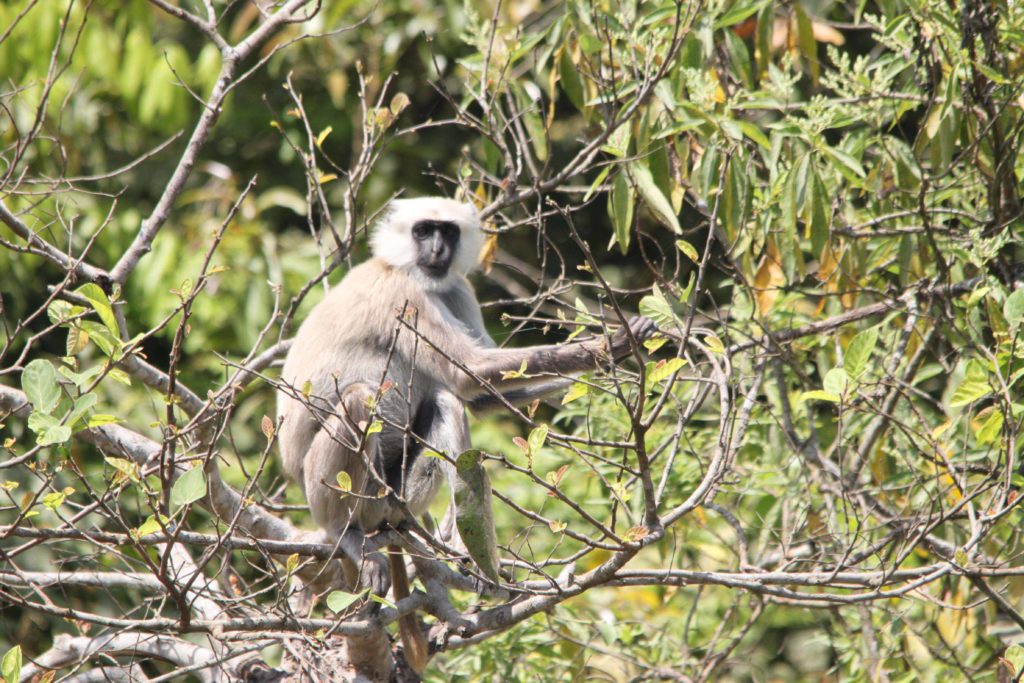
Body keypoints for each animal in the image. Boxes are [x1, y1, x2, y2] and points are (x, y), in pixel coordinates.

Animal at [274, 197, 655, 671]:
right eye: (423, 230)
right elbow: (467, 371)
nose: (437, 249)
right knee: (363, 399)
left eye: (448, 232)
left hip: (394, 490)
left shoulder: (454, 288)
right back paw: (348, 535)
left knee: (445, 402)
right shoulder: (403, 291)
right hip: (325, 486)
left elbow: (478, 397)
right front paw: (614, 344)